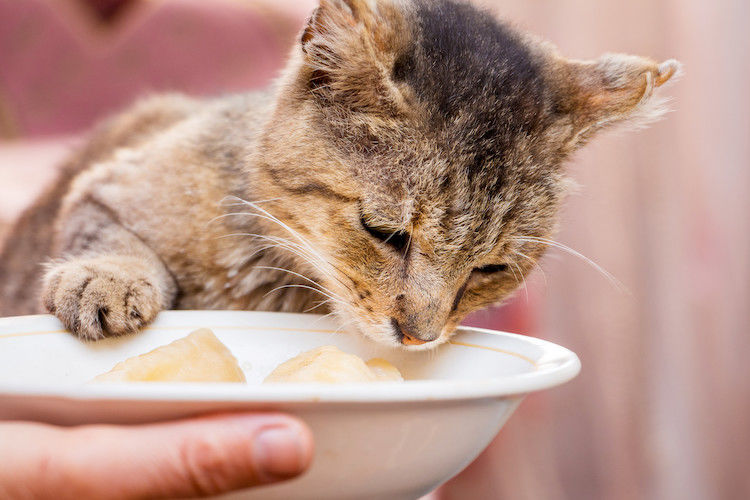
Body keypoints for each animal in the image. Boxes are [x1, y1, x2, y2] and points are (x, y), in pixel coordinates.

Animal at [0, 0, 680, 350]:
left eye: (491, 269)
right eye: (385, 233)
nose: (417, 338)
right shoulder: (108, 183)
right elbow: (108, 236)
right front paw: (107, 280)